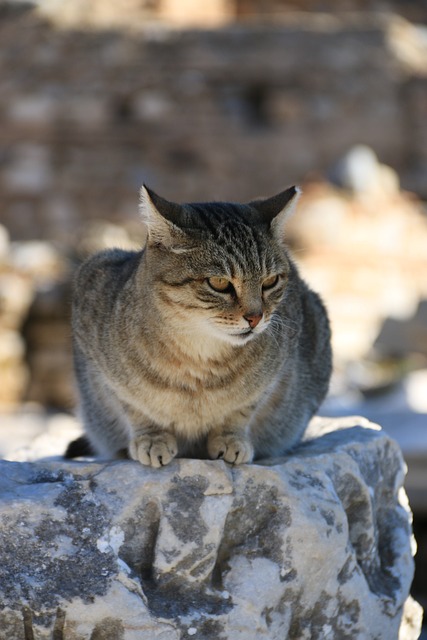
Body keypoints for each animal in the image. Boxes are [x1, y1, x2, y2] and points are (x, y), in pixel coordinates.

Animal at [67, 182, 332, 468]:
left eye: (270, 281)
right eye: (219, 283)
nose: (256, 317)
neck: (198, 359)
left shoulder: (275, 372)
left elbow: (242, 409)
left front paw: (230, 439)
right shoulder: (99, 356)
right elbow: (134, 407)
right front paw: (151, 438)